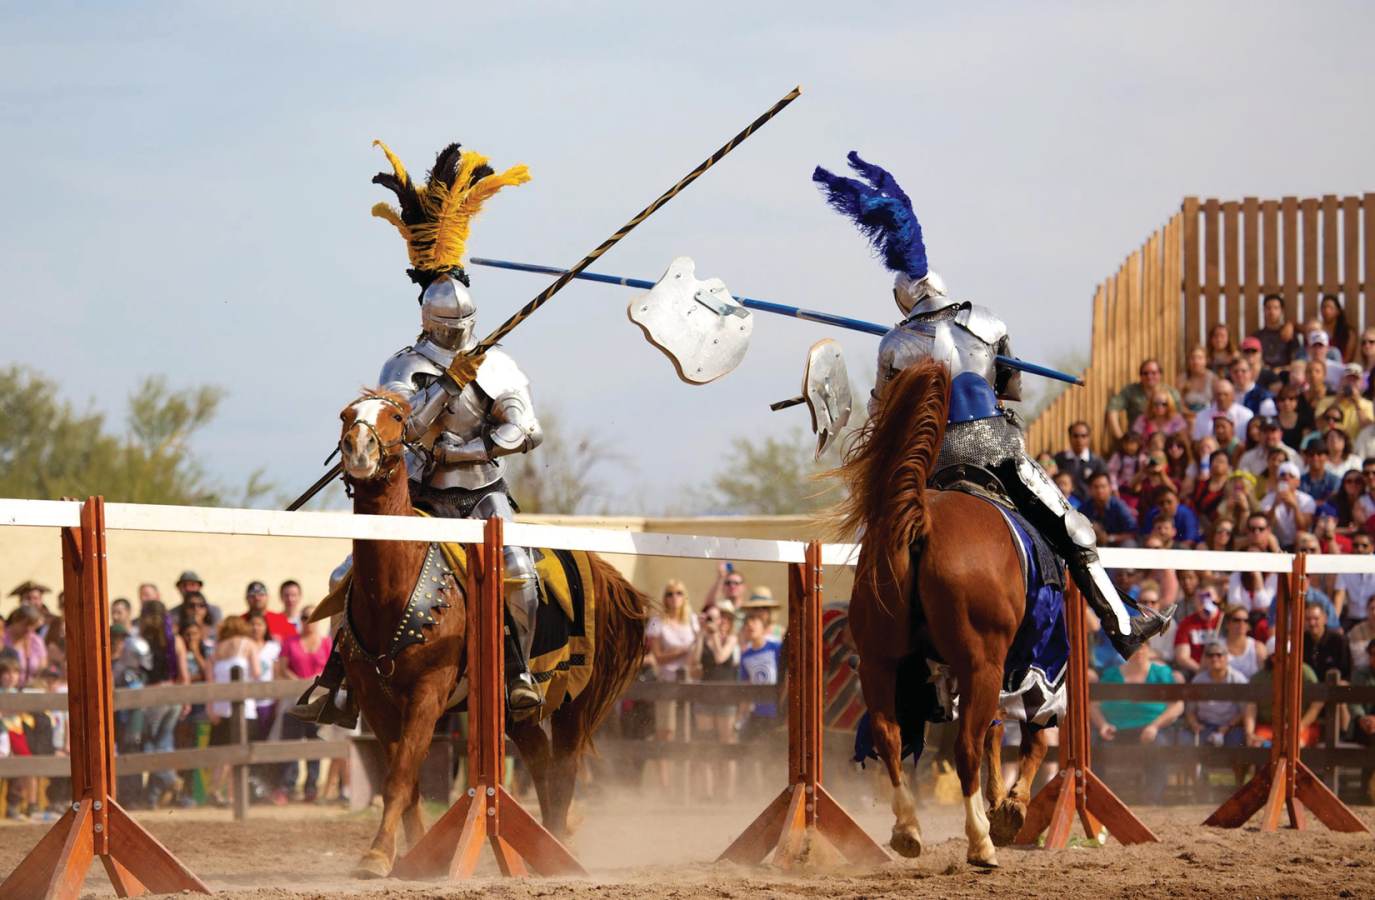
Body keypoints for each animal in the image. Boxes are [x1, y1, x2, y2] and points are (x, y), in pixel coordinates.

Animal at [338, 390, 649, 879]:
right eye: (346, 415)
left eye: (398, 416)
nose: (358, 449)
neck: (394, 588)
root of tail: (595, 564)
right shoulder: (375, 699)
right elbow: (404, 779)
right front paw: (402, 855)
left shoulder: (428, 692)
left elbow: (401, 776)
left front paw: (376, 855)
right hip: (514, 712)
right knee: (540, 761)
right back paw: (546, 845)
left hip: (573, 700)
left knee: (564, 766)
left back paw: (557, 848)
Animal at [825, 360, 1050, 868]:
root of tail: (921, 519)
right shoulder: (1031, 661)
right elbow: (1031, 734)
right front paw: (1010, 809)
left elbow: (993, 731)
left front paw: (1001, 803)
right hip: (980, 664)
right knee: (966, 745)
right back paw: (981, 842)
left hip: (880, 662)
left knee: (889, 735)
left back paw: (908, 829)